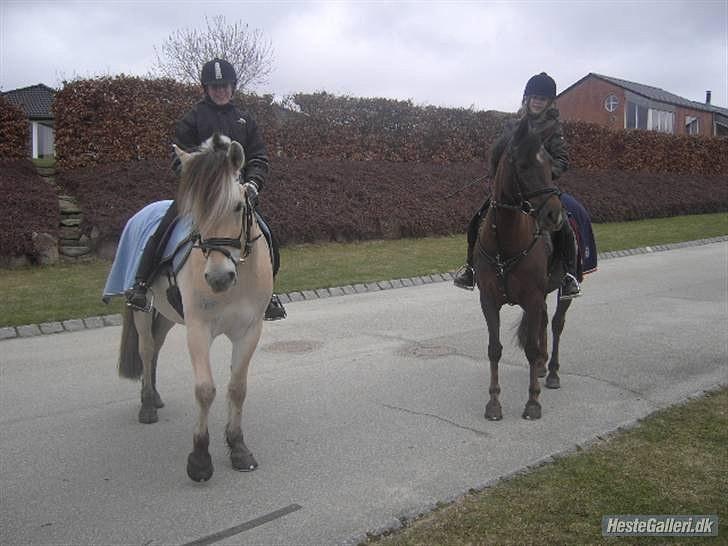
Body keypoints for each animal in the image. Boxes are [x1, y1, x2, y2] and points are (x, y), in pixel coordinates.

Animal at [112, 133, 272, 480]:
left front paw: (238, 447)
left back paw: (154, 396)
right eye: (195, 212)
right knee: (146, 349)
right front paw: (200, 458)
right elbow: (205, 389)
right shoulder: (199, 328)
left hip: (167, 314)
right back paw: (147, 404)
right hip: (144, 311)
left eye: (238, 206)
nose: (218, 277)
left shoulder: (250, 330)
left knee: (156, 347)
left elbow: (237, 388)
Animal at [474, 117, 572, 418]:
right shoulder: (489, 299)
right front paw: (494, 403)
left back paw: (552, 372)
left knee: (556, 324)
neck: (505, 240)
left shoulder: (532, 296)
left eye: (550, 166)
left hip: (564, 290)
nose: (554, 215)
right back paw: (541, 366)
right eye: (524, 165)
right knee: (543, 322)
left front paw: (532, 402)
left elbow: (529, 347)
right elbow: (494, 349)